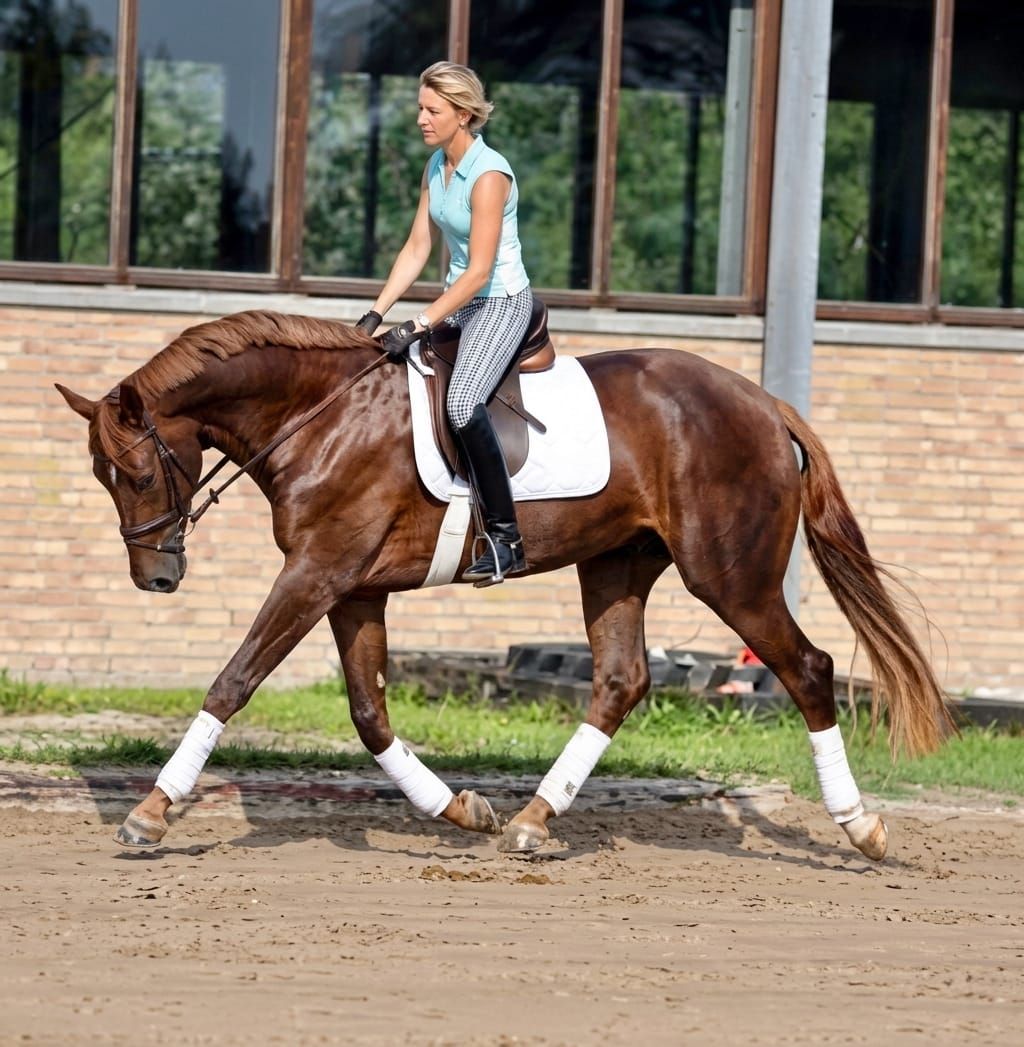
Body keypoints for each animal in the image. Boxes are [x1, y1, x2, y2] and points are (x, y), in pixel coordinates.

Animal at [56, 309, 953, 860]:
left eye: (137, 471)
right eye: (104, 477)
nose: (156, 576)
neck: (321, 414)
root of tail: (765, 402)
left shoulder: (316, 572)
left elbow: (234, 679)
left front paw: (151, 811)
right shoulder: (351, 586)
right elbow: (369, 711)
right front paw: (461, 808)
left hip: (730, 575)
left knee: (807, 669)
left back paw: (862, 826)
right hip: (619, 562)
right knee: (620, 681)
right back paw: (530, 819)